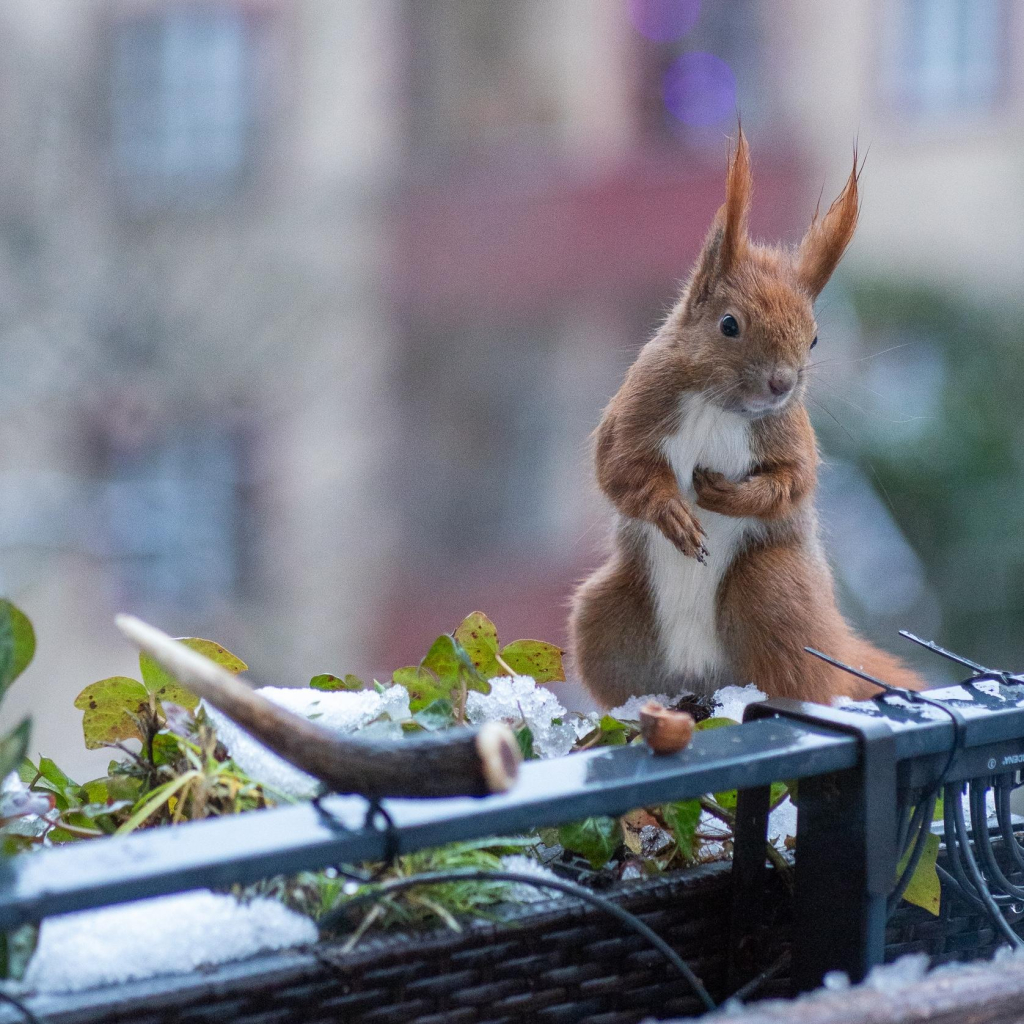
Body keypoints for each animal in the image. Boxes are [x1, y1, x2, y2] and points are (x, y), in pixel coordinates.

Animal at [573, 132, 925, 708]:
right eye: (729, 325)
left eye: (814, 338)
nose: (782, 384)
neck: (718, 406)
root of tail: (699, 673)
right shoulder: (637, 410)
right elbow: (619, 470)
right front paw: (671, 510)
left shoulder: (789, 435)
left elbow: (792, 481)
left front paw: (728, 496)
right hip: (605, 615)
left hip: (773, 592)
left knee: (802, 674)